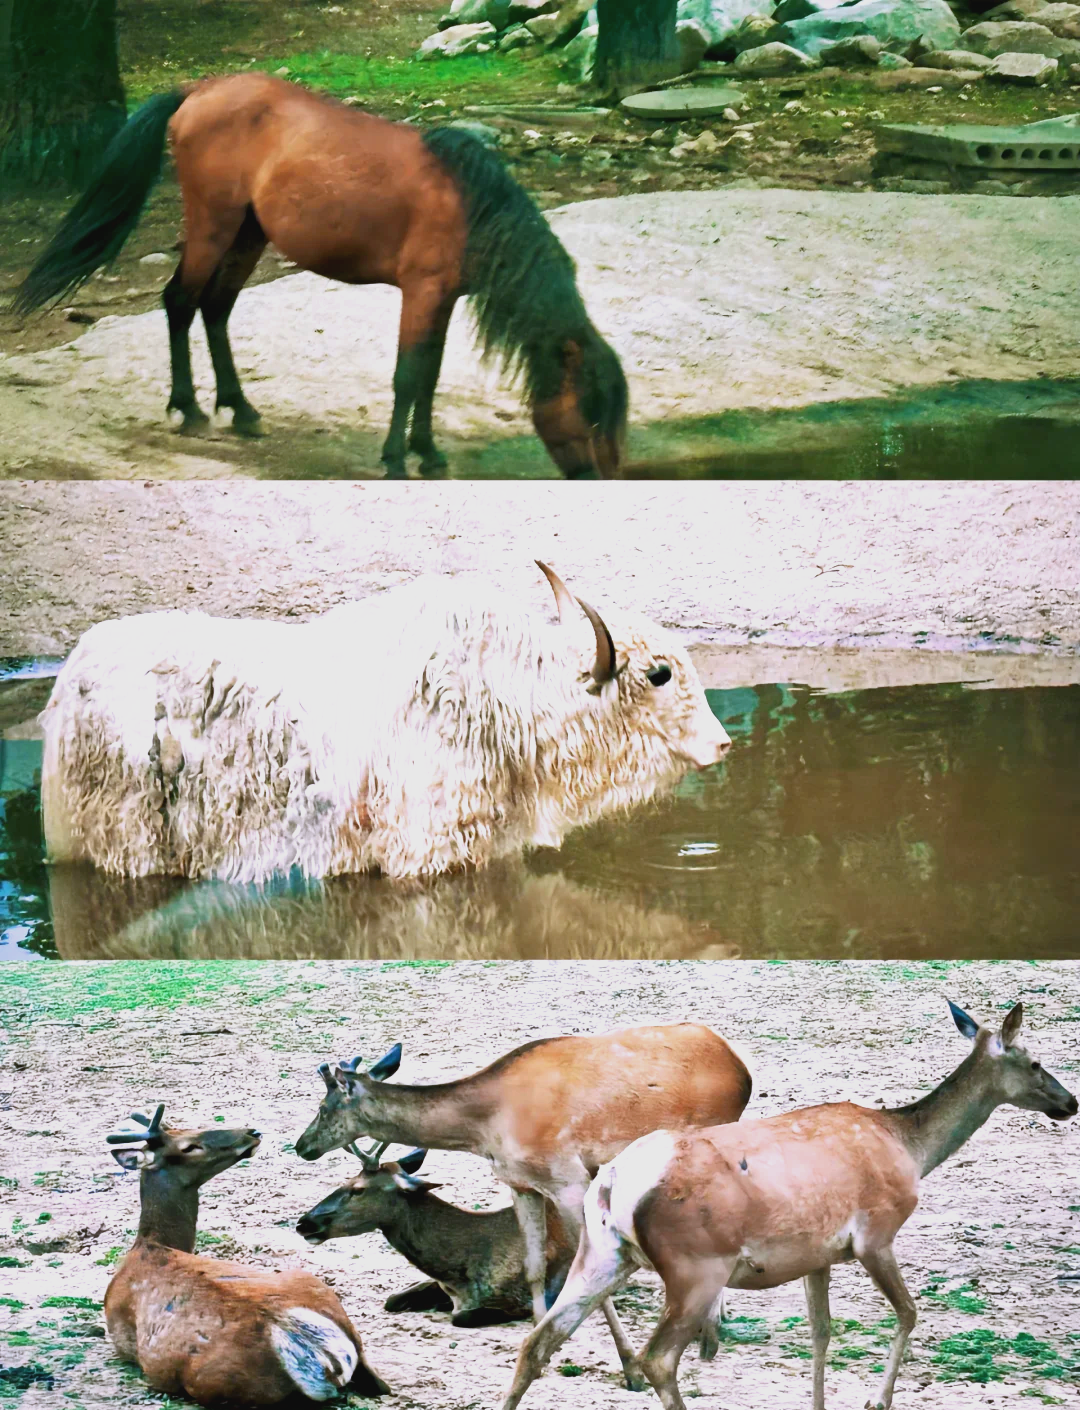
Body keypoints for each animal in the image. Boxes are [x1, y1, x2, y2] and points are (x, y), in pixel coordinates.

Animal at [12, 78, 631, 485]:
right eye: (591, 412)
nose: (601, 483)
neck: (471, 204)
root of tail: (198, 91)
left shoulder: (444, 301)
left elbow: (429, 378)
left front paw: (428, 454)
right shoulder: (421, 294)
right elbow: (408, 377)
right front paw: (396, 460)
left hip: (248, 235)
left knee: (215, 308)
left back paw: (241, 409)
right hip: (213, 227)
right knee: (181, 302)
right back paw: (189, 410)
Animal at [103, 1105, 391, 1404]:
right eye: (189, 1146)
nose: (252, 1132)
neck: (150, 1246)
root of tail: (326, 1360)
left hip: (211, 1383)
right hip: (315, 1286)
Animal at [296, 1139, 580, 1325]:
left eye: (358, 1189)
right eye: (346, 1180)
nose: (303, 1223)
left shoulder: (536, 1296)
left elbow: (462, 1317)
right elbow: (392, 1299)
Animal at [501, 998, 1077, 1410]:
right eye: (1036, 1062)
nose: (1069, 1102)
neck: (911, 1148)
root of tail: (613, 1181)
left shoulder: (817, 1253)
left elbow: (821, 1333)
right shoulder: (876, 1233)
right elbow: (910, 1312)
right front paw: (877, 1400)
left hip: (603, 1251)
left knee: (537, 1343)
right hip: (695, 1265)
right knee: (657, 1359)